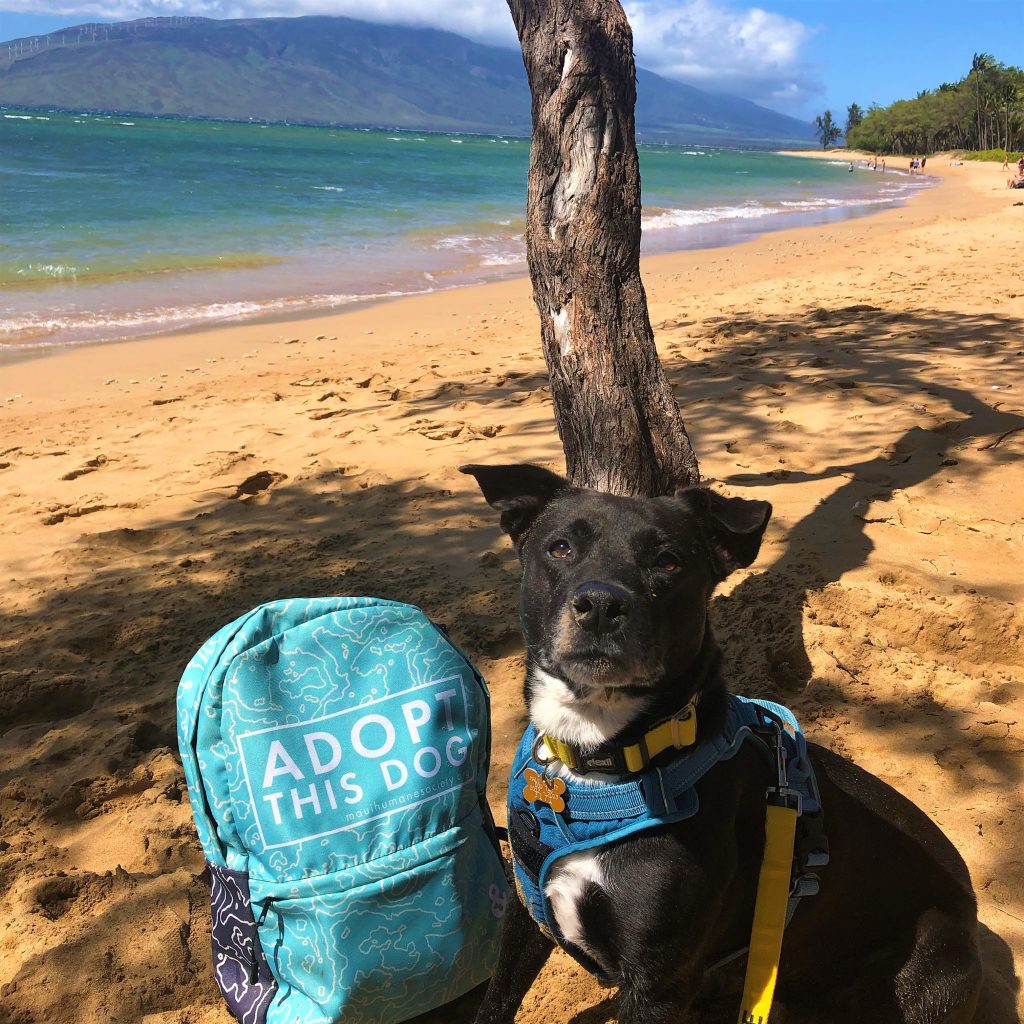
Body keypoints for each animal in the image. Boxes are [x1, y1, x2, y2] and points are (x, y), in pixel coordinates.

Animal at [460, 466, 978, 1024]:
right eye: (559, 548)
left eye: (668, 561)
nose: (600, 605)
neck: (601, 761)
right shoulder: (526, 909)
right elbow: (496, 1002)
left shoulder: (658, 981)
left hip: (933, 970)